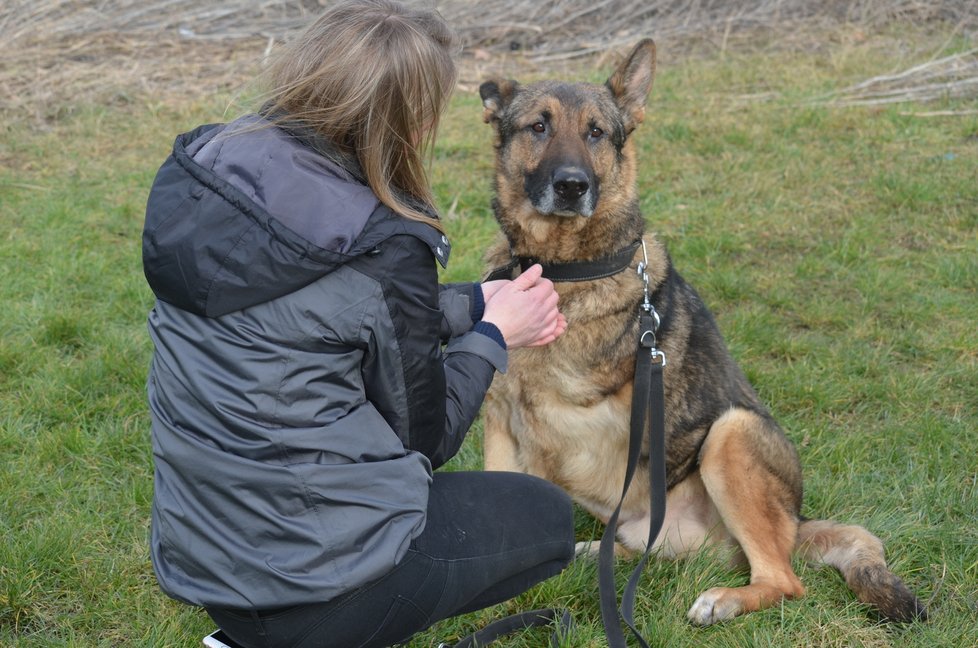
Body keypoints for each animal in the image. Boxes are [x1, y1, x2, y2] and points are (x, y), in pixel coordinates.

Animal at [476, 39, 928, 624]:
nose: (572, 186)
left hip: (730, 435)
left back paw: (725, 600)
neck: (562, 269)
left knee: (785, 581)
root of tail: (796, 523)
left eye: (596, 132)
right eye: (538, 126)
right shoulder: (501, 420)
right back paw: (591, 553)